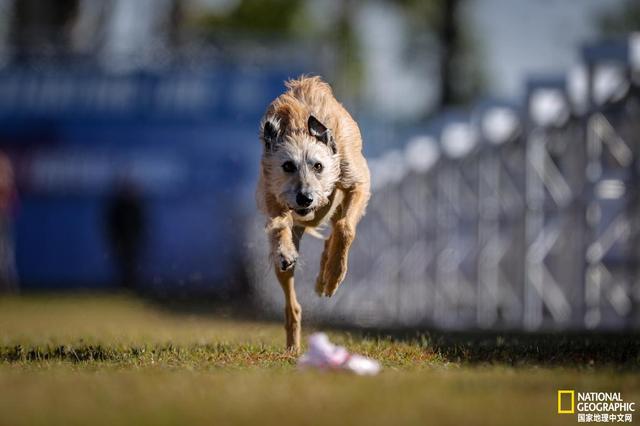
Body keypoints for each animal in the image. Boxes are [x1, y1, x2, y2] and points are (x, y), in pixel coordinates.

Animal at [256, 75, 370, 352]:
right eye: (287, 165)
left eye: (318, 165)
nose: (305, 198)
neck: (300, 127)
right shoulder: (272, 189)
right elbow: (278, 223)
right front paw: (285, 250)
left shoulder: (356, 180)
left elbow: (345, 228)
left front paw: (334, 275)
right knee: (292, 304)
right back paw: (293, 344)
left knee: (334, 229)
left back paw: (324, 276)